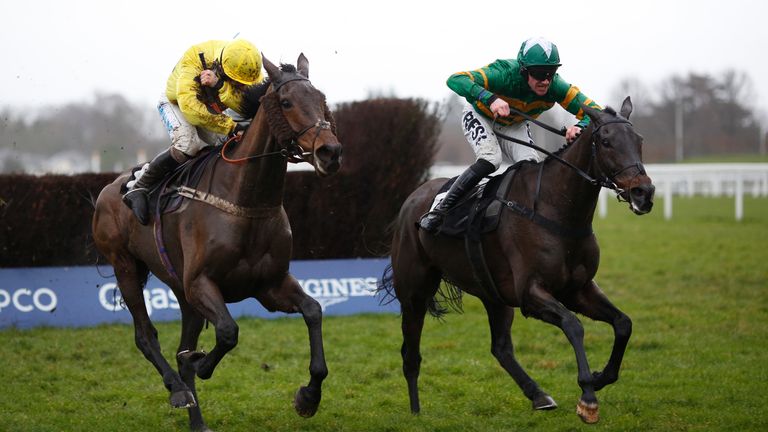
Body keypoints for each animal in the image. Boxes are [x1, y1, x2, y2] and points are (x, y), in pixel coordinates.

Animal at [91, 54, 340, 432]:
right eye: (286, 102)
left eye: (322, 99)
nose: (330, 152)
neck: (247, 201)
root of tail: (109, 189)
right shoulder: (201, 283)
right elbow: (227, 331)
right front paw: (201, 364)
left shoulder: (269, 285)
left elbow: (313, 311)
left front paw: (308, 397)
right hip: (125, 265)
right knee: (146, 336)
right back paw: (178, 390)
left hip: (181, 292)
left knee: (180, 344)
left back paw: (197, 419)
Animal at [378, 97, 656, 422]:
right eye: (607, 142)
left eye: (639, 140)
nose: (644, 192)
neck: (556, 209)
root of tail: (412, 200)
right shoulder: (530, 293)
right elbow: (573, 325)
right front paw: (587, 396)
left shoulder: (578, 289)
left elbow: (623, 323)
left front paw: (600, 378)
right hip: (414, 292)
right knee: (410, 353)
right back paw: (415, 411)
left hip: (492, 294)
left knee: (500, 348)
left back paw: (538, 395)